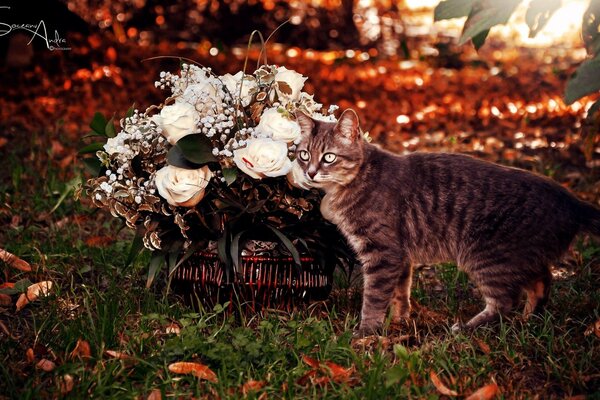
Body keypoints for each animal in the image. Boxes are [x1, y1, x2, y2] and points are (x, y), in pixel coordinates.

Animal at [292, 109, 600, 338]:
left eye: (329, 157)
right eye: (304, 154)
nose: (310, 172)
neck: (351, 183)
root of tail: (571, 200)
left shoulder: (383, 252)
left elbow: (375, 296)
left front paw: (366, 331)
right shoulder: (401, 256)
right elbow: (400, 293)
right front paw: (400, 321)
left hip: (486, 257)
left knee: (505, 301)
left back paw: (466, 328)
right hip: (520, 258)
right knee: (542, 281)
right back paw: (529, 319)